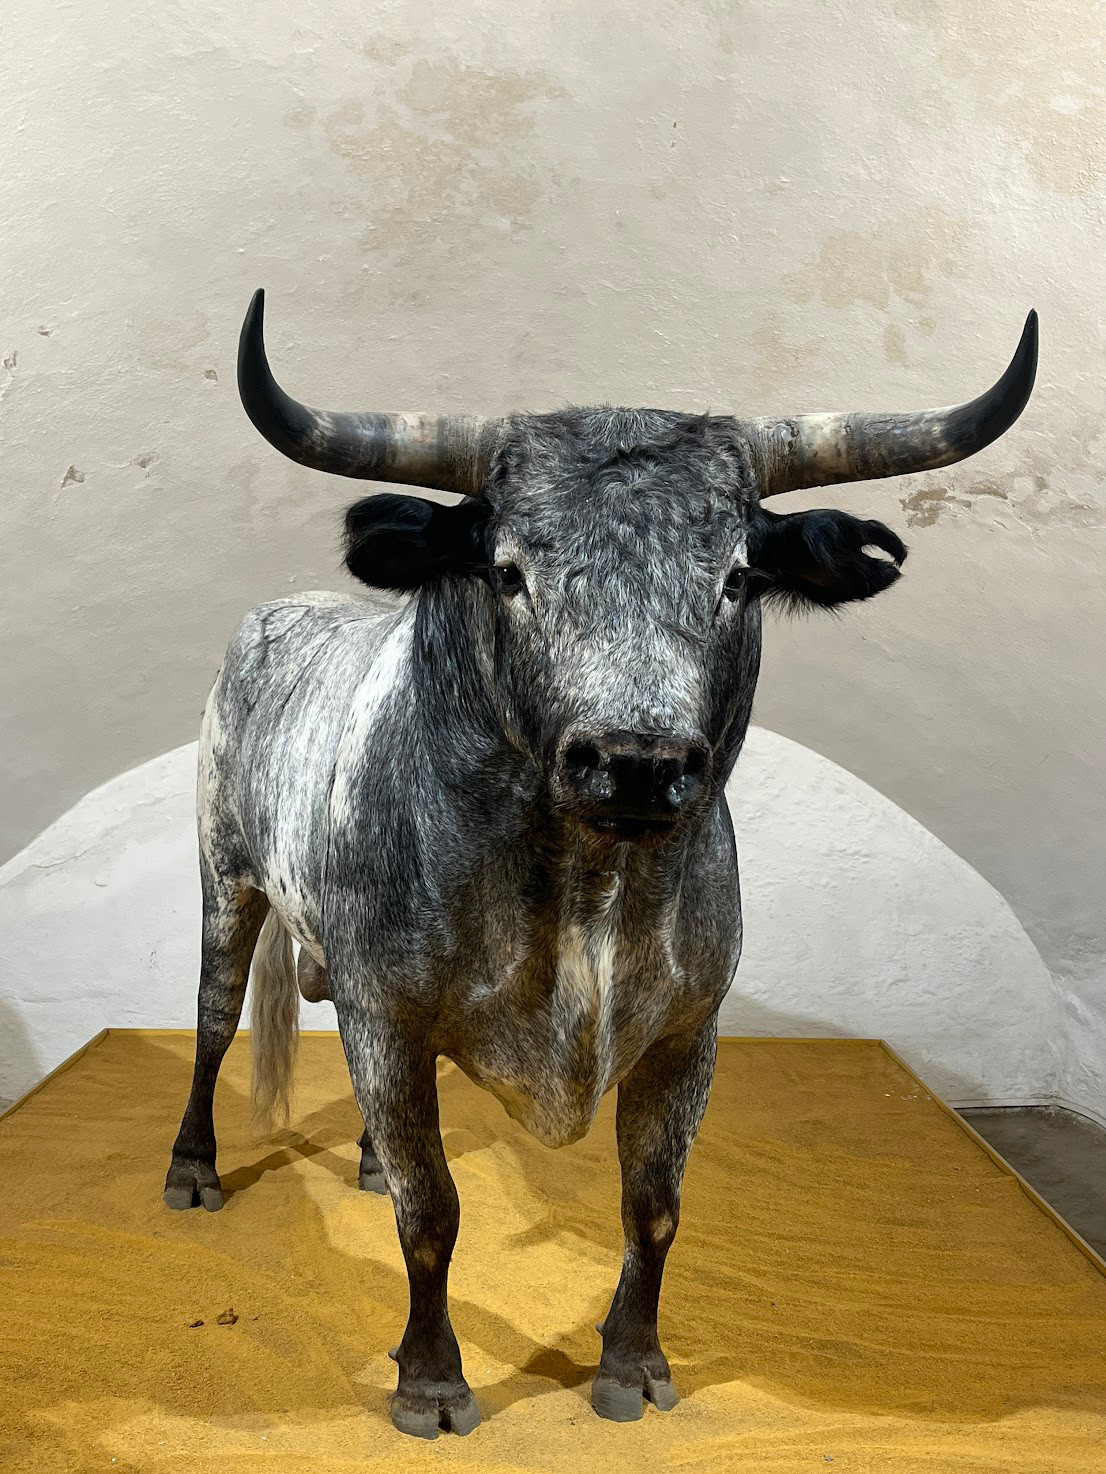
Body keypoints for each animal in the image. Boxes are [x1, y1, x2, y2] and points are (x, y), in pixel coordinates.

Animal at [165, 291, 1036, 1439]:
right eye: (508, 571)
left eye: (736, 575)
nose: (635, 762)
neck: (585, 893)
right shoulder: (386, 1011)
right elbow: (433, 1210)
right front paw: (430, 1380)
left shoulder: (687, 1031)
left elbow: (653, 1205)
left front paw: (632, 1363)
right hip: (226, 882)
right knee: (214, 1024)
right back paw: (192, 1171)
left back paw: (363, 1160)